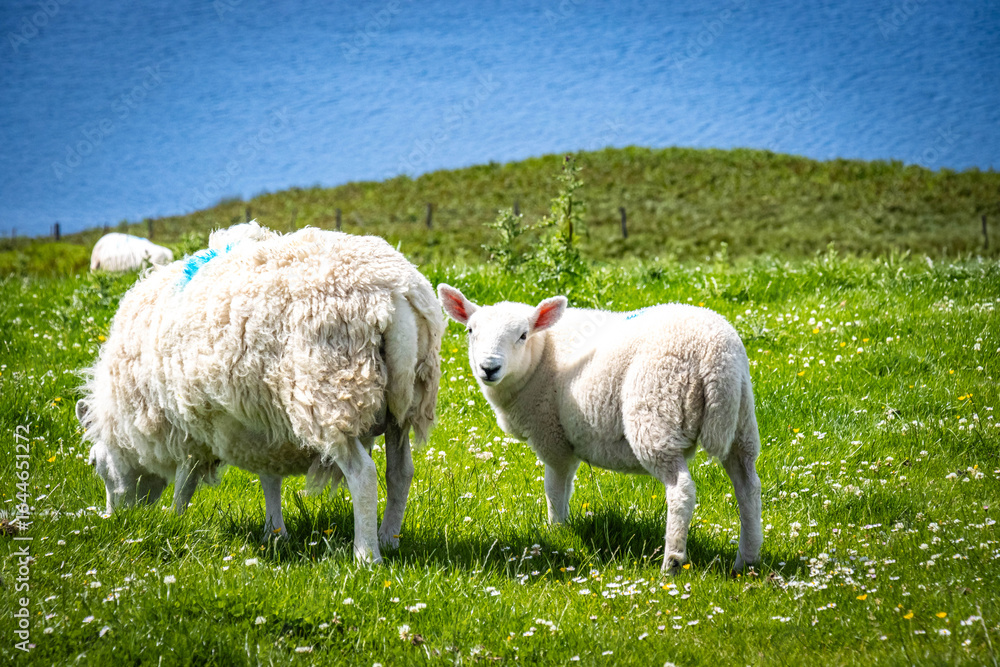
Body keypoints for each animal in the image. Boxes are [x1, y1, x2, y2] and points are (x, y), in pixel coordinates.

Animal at [76, 224, 444, 563]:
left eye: (95, 463)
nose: (117, 519)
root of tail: (394, 292)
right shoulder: (265, 418)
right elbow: (270, 478)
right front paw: (274, 531)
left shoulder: (187, 429)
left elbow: (185, 483)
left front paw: (174, 523)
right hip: (405, 403)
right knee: (400, 473)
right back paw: (389, 539)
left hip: (331, 397)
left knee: (363, 475)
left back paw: (367, 555)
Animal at [438, 284, 762, 574]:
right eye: (470, 331)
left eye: (522, 335)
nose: (489, 367)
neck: (540, 357)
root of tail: (714, 354)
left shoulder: (553, 437)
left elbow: (555, 489)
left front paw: (557, 530)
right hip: (742, 421)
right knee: (748, 486)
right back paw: (747, 560)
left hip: (657, 415)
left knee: (680, 488)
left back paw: (671, 562)